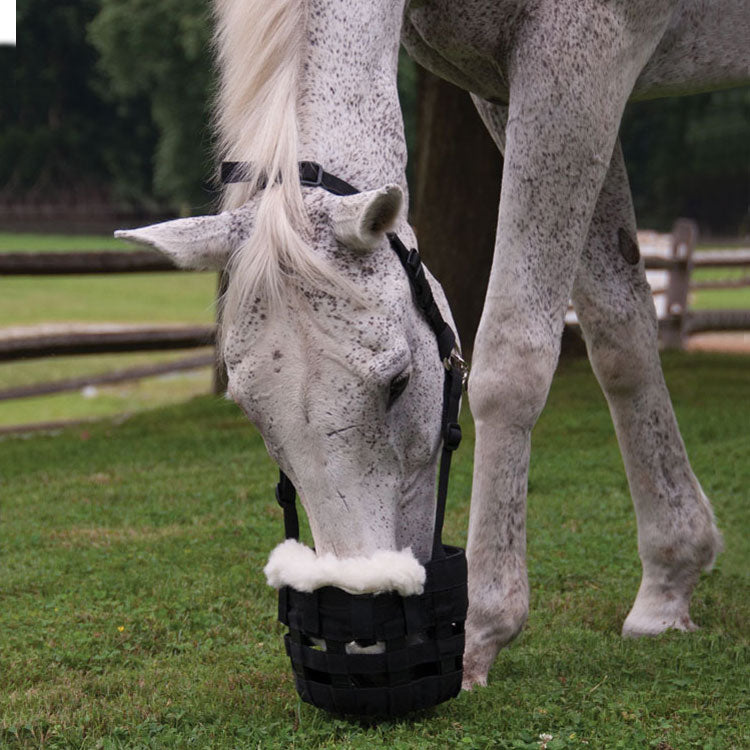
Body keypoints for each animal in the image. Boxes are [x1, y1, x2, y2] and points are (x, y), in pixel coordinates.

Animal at [114, 0, 748, 692]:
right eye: (249, 411)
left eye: (397, 383)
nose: (363, 639)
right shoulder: (510, 91)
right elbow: (620, 329)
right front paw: (669, 579)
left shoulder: (578, 61)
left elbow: (513, 358)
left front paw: (481, 627)